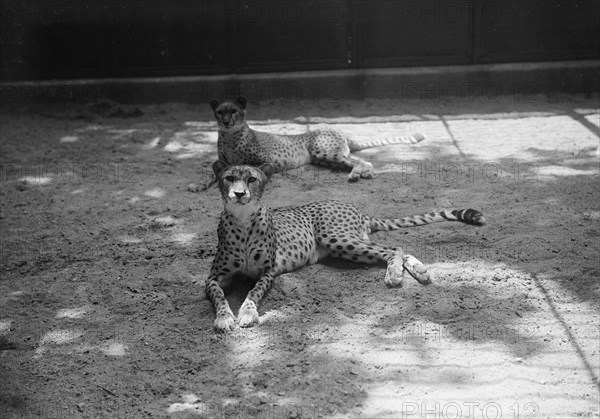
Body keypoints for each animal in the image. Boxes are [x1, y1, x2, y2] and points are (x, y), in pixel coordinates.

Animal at [203, 97, 426, 189]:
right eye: (220, 112)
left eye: (234, 111)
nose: (226, 121)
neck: (230, 136)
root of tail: (336, 128)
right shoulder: (223, 162)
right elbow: (213, 173)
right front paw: (200, 185)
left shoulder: (267, 161)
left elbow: (250, 168)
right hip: (324, 159)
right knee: (355, 161)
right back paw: (358, 173)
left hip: (325, 152)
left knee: (364, 161)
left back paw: (360, 173)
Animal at [204, 162, 486, 334]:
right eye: (229, 178)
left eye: (252, 179)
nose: (239, 194)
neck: (243, 220)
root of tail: (353, 207)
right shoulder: (214, 277)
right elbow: (219, 295)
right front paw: (224, 317)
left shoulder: (267, 272)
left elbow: (254, 292)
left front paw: (247, 313)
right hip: (342, 244)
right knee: (397, 249)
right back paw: (420, 270)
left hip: (336, 237)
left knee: (393, 247)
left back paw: (395, 274)